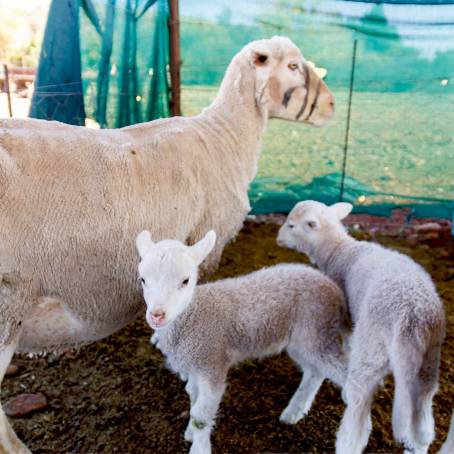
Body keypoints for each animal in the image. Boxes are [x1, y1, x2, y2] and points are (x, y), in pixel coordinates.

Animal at [137, 231, 350, 454]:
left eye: (185, 280)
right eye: (143, 279)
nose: (157, 315)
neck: (193, 316)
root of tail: (333, 288)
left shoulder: (212, 363)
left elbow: (200, 417)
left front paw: (199, 447)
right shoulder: (195, 363)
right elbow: (193, 398)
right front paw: (190, 433)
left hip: (316, 329)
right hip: (306, 339)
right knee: (315, 371)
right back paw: (294, 412)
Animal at [276, 201, 446, 454]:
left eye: (291, 225)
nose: (277, 239)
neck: (338, 250)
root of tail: (412, 318)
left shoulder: (348, 319)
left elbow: (347, 345)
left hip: (371, 348)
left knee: (358, 422)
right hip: (428, 363)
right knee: (424, 426)